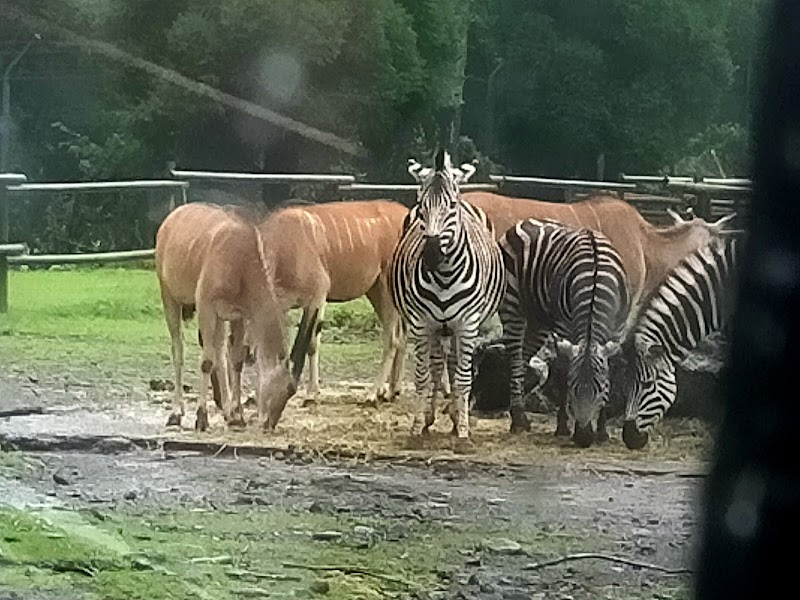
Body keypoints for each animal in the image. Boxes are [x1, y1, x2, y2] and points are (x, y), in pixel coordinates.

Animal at [155, 204, 314, 434]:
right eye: (286, 389)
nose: (269, 424)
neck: (240, 260)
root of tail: (171, 218)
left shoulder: (238, 314)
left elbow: (236, 360)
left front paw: (237, 416)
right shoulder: (205, 306)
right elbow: (206, 361)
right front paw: (201, 418)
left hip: (221, 318)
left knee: (220, 351)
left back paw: (228, 413)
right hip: (169, 296)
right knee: (179, 349)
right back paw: (176, 413)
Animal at [390, 149, 506, 450]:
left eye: (451, 207)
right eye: (422, 207)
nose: (431, 254)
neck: (444, 275)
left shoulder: (467, 324)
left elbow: (463, 379)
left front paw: (463, 432)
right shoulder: (421, 323)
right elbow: (422, 378)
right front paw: (417, 428)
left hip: (456, 327)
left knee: (451, 364)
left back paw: (455, 417)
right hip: (436, 327)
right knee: (436, 364)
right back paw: (431, 417)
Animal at [500, 218, 632, 448]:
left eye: (600, 388)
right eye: (572, 388)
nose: (583, 438)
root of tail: (525, 221)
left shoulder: (617, 329)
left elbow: (610, 372)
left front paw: (602, 431)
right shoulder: (563, 329)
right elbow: (562, 373)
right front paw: (562, 427)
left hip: (539, 321)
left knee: (524, 357)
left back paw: (521, 411)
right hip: (512, 306)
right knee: (515, 360)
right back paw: (518, 419)